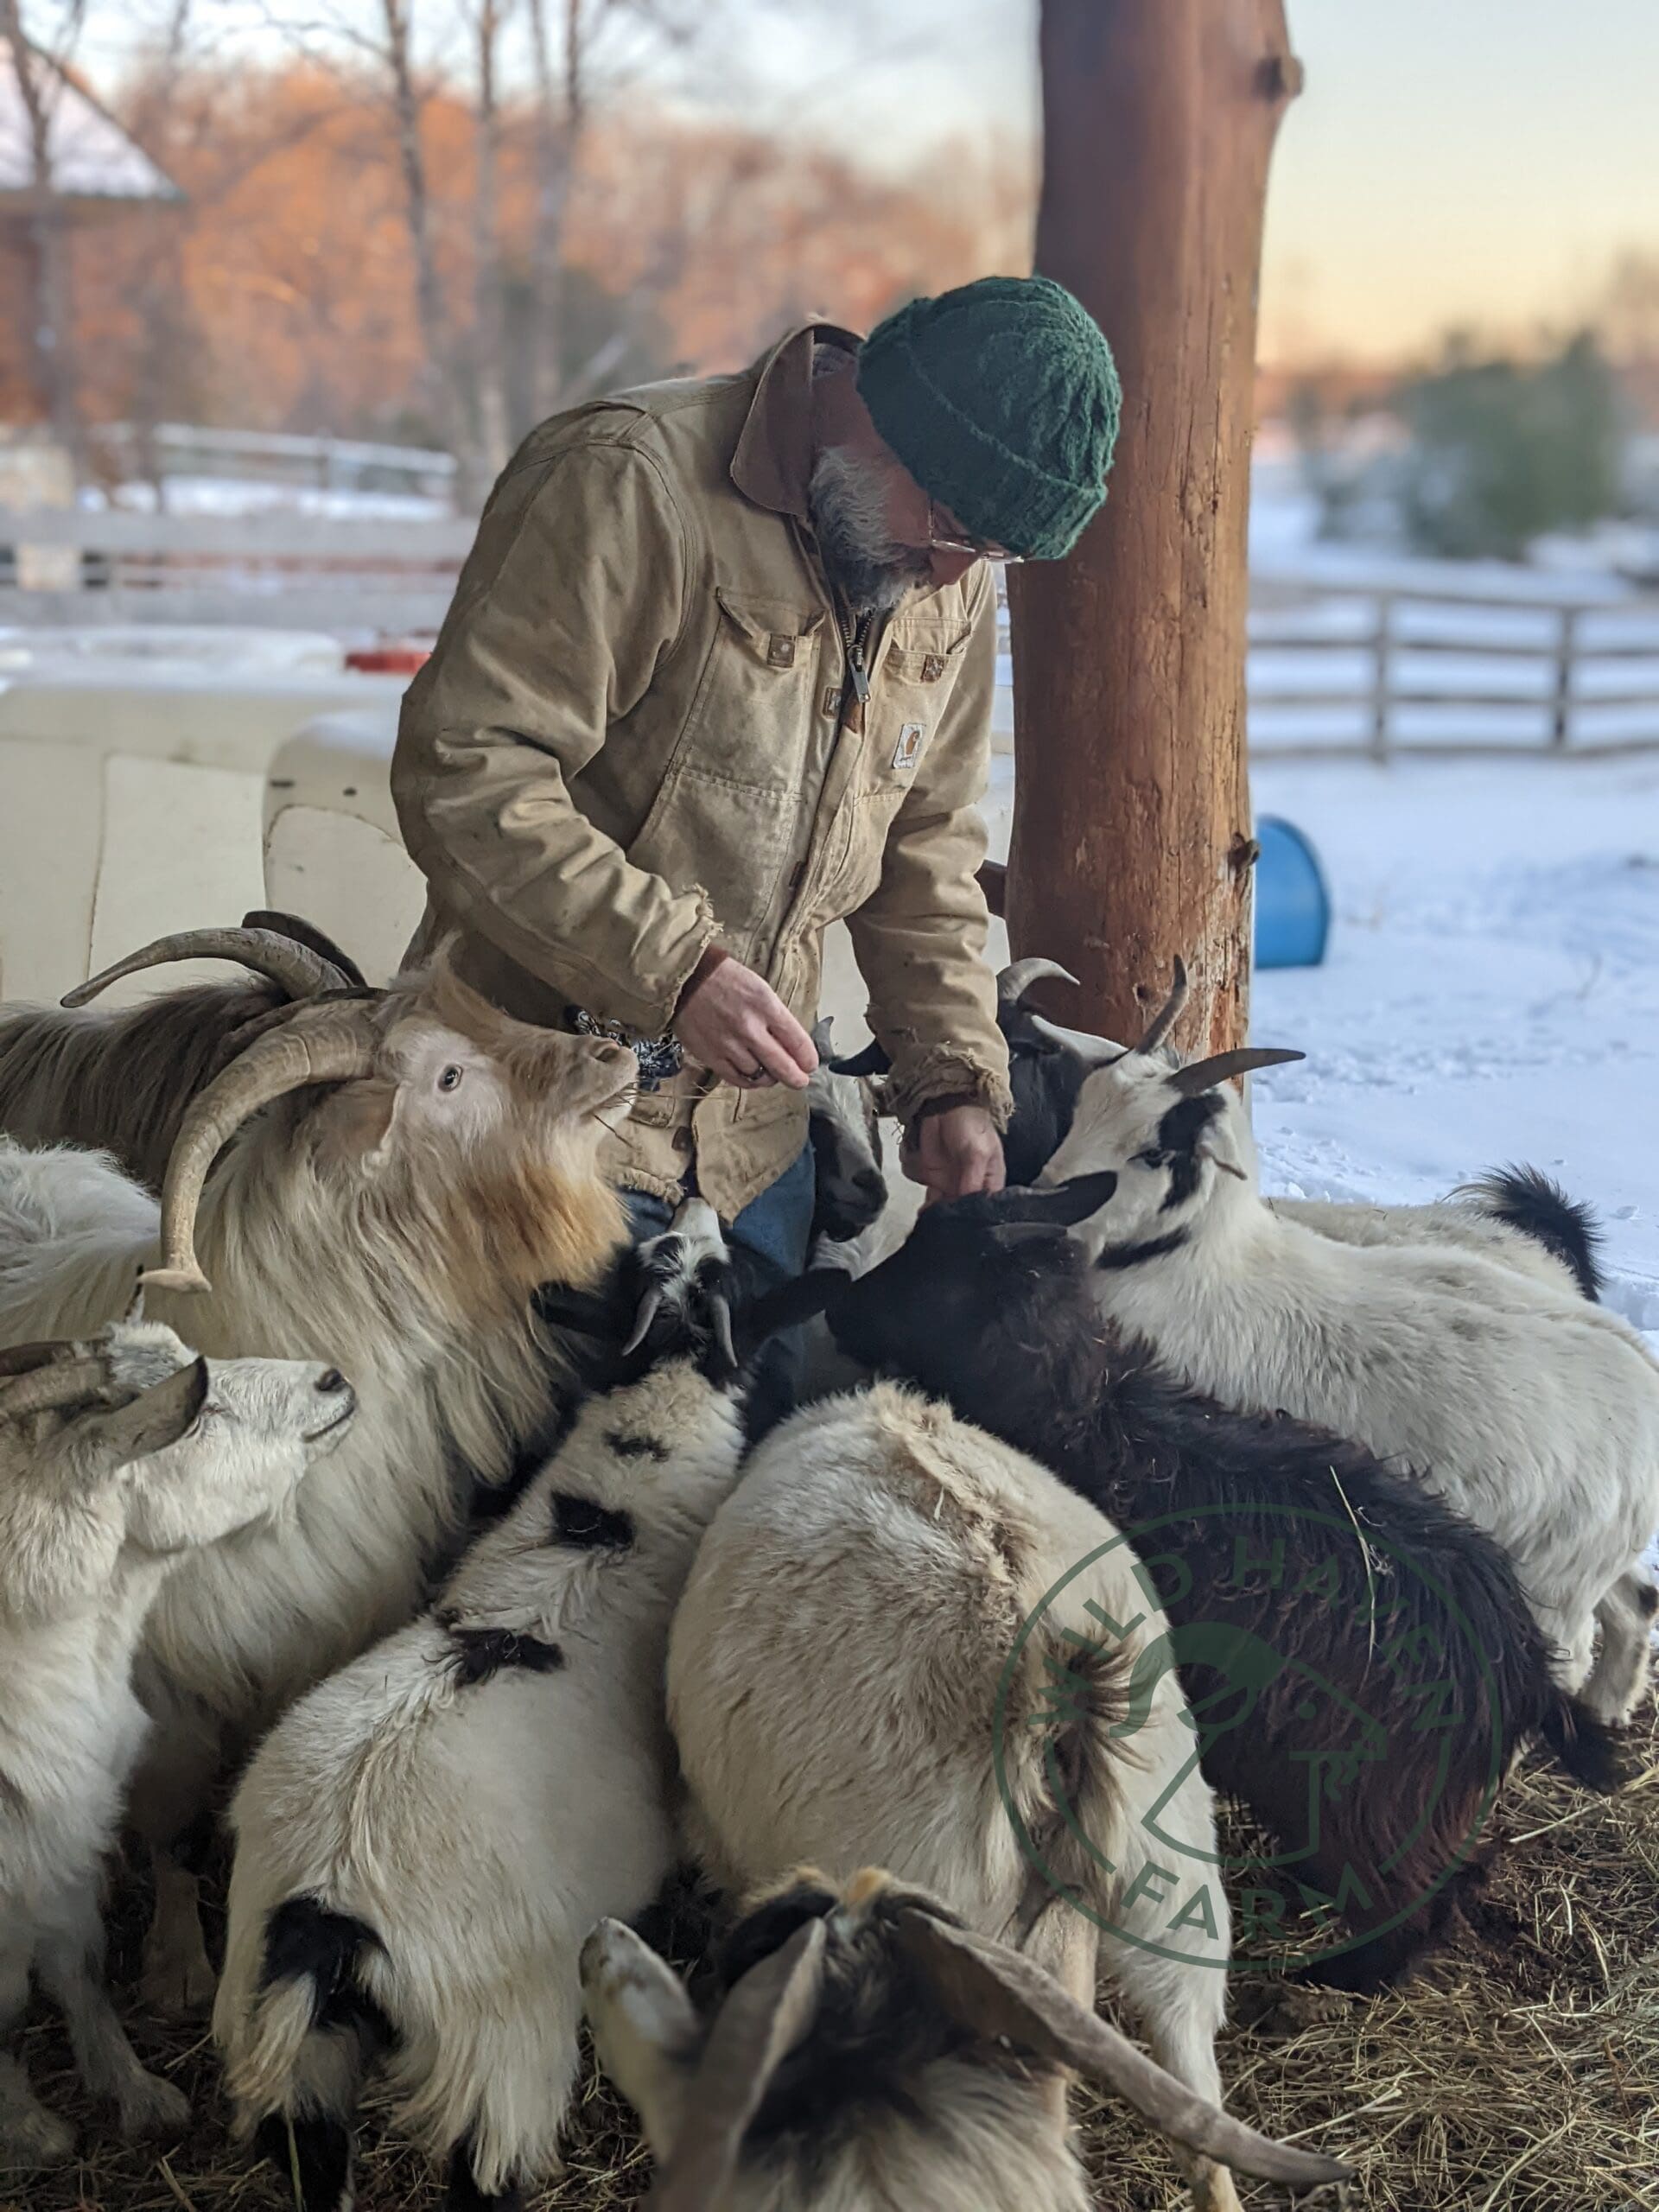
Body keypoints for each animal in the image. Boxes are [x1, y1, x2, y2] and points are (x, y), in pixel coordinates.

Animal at [0, 1317, 352, 2172]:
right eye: (200, 1414)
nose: (332, 1380)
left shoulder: (67, 1832)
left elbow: (79, 1963)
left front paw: (136, 2091)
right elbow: (8, 2011)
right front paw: (29, 2130)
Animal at [214, 1201, 746, 2212]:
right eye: (713, 1273)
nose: (700, 1206)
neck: (612, 1507)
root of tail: (324, 1901)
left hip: (282, 2022)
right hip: (500, 2043)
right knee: (484, 2171)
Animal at [767, 1181, 1623, 1994]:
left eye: (928, 1265)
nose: (837, 1306)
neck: (1088, 1421)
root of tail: (1522, 1667)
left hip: (1374, 1799)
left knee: (1424, 1897)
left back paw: (1339, 1979)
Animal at [1037, 965, 1659, 1729]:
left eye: (1155, 1152)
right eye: (1083, 1107)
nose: (1043, 1198)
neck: (1196, 1267)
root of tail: (1644, 1381)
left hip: (1553, 1591)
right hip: (1591, 1563)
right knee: (1636, 1603)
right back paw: (1610, 1710)